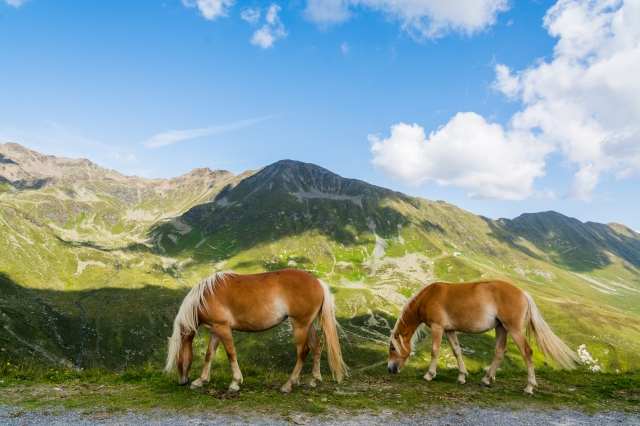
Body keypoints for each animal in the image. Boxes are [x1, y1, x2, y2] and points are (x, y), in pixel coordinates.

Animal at [164, 269, 348, 393]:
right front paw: (201, 380)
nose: (182, 381)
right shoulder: (216, 330)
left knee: (303, 352)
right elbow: (209, 355)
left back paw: (288, 384)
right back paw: (314, 380)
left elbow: (231, 353)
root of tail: (318, 282)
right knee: (317, 347)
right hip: (308, 326)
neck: (206, 296)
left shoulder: (223, 329)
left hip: (300, 325)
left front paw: (235, 382)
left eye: (178, 356)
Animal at [387, 280, 579, 394]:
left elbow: (435, 350)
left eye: (392, 348)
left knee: (527, 352)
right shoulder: (450, 330)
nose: (390, 369)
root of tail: (523, 293)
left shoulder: (437, 327)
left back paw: (529, 386)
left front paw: (429, 375)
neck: (429, 296)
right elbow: (457, 351)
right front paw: (462, 376)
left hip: (514, 329)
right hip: (501, 328)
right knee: (499, 352)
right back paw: (487, 379)